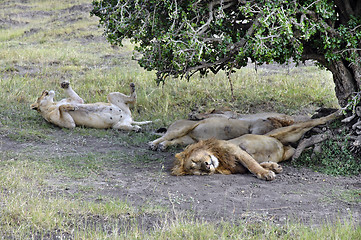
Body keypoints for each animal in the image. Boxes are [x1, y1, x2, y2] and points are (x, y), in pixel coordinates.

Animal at [172, 109, 340, 181]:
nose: (207, 166)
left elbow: (253, 165)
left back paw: (337, 114)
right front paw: (273, 167)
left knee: (313, 122)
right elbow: (254, 165)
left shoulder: (238, 150)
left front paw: (266, 173)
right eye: (198, 171)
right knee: (300, 145)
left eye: (196, 160)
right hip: (289, 150)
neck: (219, 160)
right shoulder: (239, 166)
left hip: (287, 130)